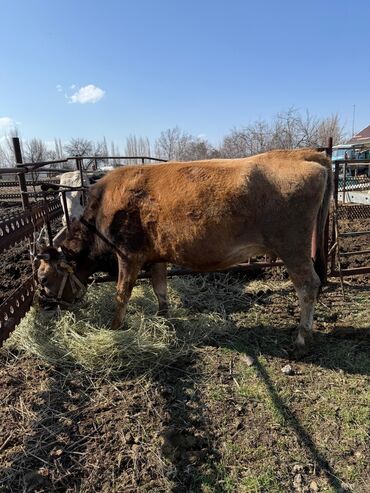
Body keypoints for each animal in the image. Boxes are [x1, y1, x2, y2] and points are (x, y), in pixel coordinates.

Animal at [36, 149, 332, 354]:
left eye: (43, 278)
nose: (45, 305)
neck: (102, 214)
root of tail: (303, 154)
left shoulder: (128, 257)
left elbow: (122, 294)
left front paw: (114, 327)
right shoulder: (154, 257)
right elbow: (160, 289)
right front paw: (163, 318)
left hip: (293, 250)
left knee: (308, 286)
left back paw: (302, 339)